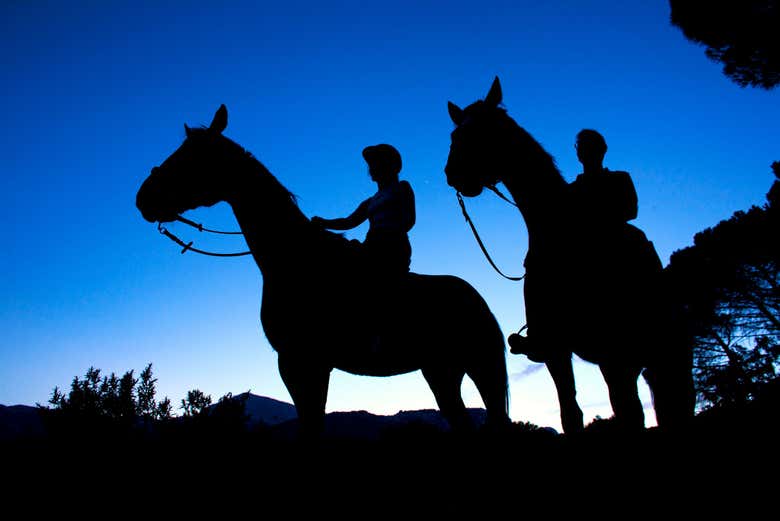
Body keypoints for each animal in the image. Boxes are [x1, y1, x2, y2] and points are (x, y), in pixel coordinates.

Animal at [134, 103, 512, 436]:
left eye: (190, 158)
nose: (143, 199)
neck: (297, 260)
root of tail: (477, 299)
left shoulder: (302, 362)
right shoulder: (301, 364)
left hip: (477, 367)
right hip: (441, 371)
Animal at [444, 78, 696, 434]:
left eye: (485, 130)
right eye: (455, 134)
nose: (454, 175)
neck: (563, 236)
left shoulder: (614, 352)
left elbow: (623, 414)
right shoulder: (556, 349)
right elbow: (571, 415)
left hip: (658, 354)